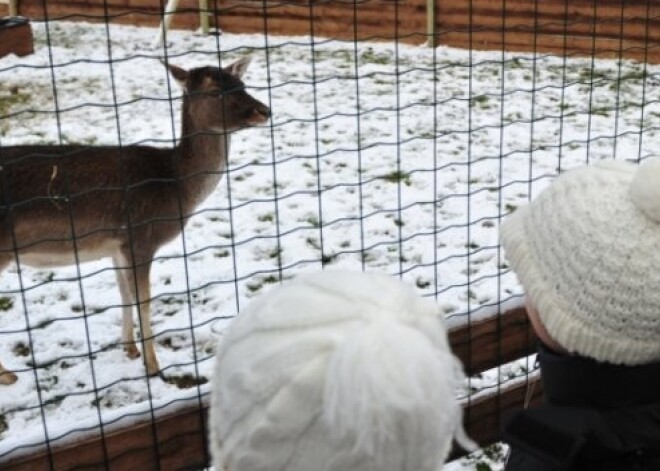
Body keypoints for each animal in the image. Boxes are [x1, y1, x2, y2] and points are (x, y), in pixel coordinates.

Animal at [0, 56, 270, 388]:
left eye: (242, 84)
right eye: (215, 92)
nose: (264, 111)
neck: (174, 187)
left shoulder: (118, 245)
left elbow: (124, 293)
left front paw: (129, 349)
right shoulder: (141, 238)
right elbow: (145, 300)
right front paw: (153, 366)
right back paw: (7, 375)